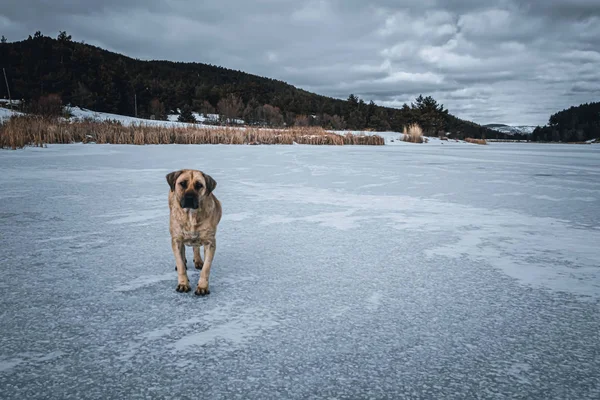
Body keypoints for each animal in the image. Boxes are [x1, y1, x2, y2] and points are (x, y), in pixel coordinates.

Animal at [165, 167, 221, 296]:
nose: (189, 198)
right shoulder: (176, 239)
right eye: (182, 184)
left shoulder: (210, 242)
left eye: (199, 185)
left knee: (196, 247)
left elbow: (206, 268)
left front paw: (202, 287)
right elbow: (180, 264)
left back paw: (198, 260)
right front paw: (183, 284)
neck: (191, 216)